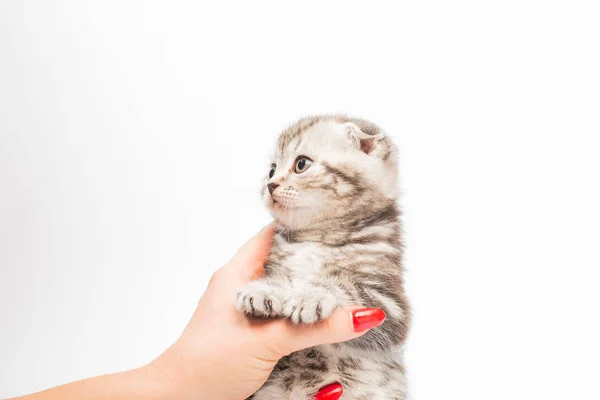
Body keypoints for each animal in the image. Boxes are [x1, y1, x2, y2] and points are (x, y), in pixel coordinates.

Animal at [237, 115, 410, 400]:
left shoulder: (392, 308)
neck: (318, 237)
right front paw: (263, 290)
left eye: (301, 164)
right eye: (272, 170)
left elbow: (345, 286)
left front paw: (311, 296)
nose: (269, 185)